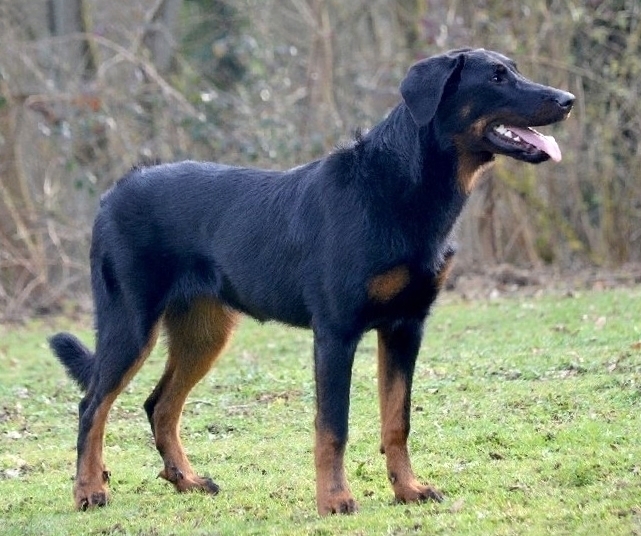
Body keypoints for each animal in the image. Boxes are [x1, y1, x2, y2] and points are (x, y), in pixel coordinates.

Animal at [47, 49, 572, 516]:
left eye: (514, 69)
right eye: (497, 77)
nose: (568, 99)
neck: (400, 187)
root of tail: (113, 193)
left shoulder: (405, 328)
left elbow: (396, 421)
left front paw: (407, 490)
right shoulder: (336, 333)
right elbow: (332, 428)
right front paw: (334, 500)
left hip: (205, 333)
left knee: (160, 406)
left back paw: (187, 481)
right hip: (130, 324)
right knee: (92, 406)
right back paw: (89, 491)